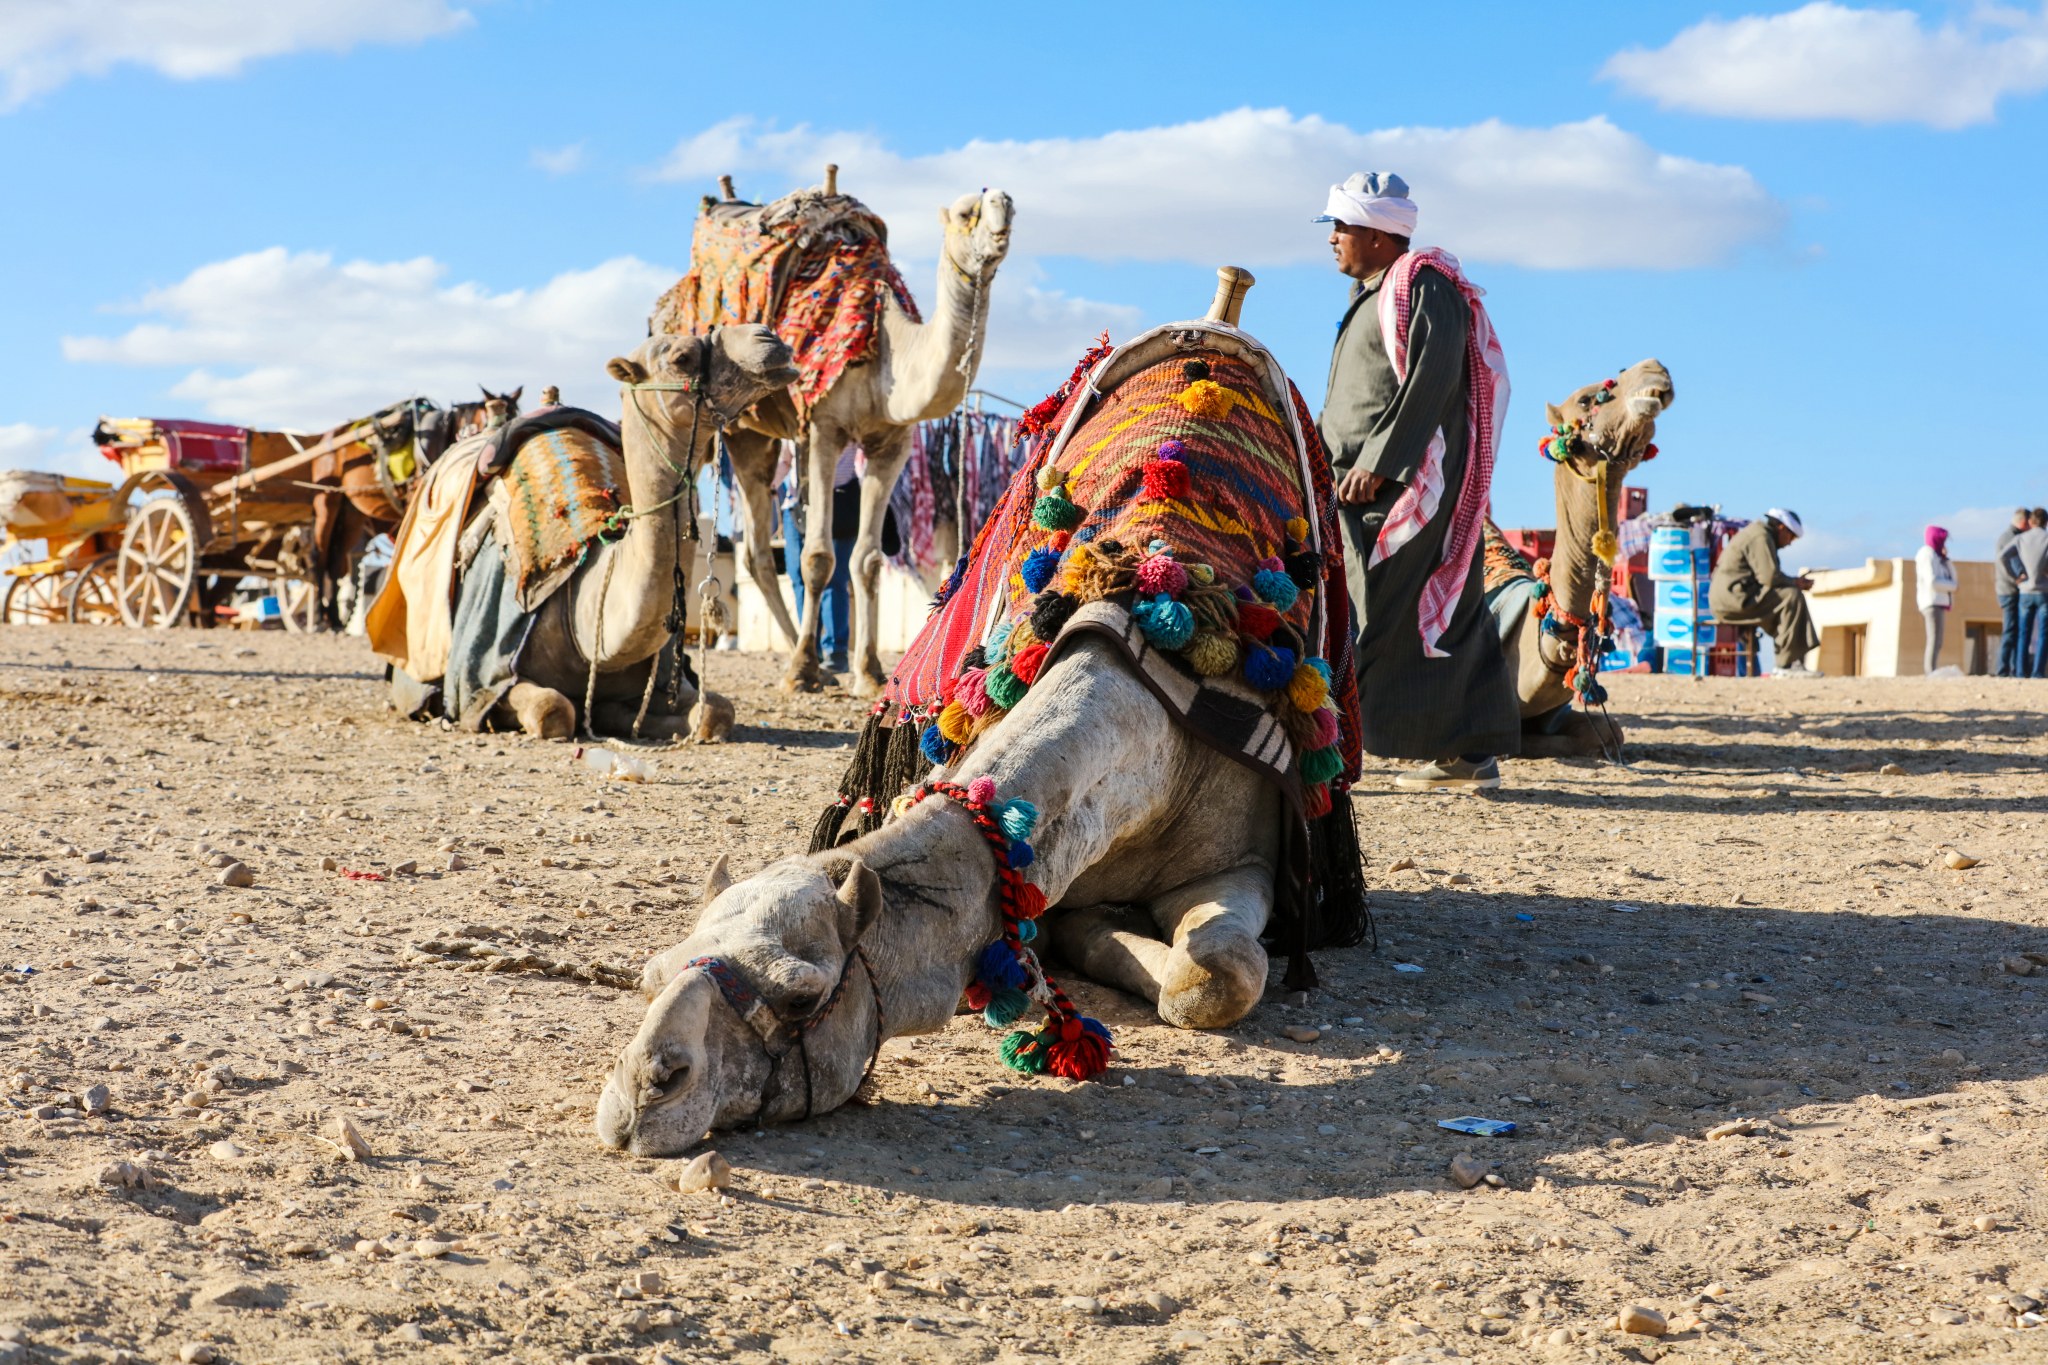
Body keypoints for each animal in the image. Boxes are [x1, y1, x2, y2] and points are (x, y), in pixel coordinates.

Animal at [712, 179, 1015, 695]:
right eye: (964, 213)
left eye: (1008, 205)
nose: (1003, 208)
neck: (888, 352)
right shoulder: (824, 428)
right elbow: (817, 558)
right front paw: (800, 671)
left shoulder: (891, 443)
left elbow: (867, 560)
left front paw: (870, 672)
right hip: (737, 429)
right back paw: (800, 661)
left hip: (762, 441)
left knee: (756, 554)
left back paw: (813, 659)